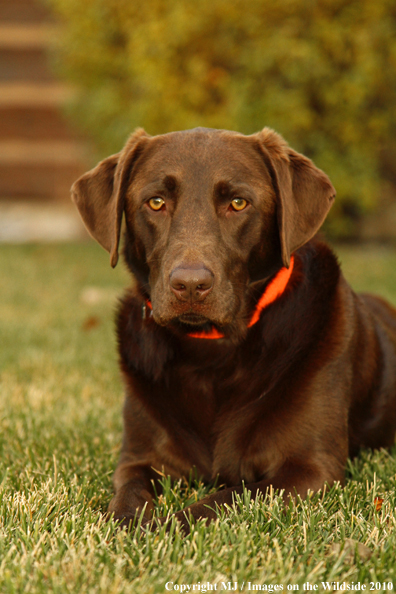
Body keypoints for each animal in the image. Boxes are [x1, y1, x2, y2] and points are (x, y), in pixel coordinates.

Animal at [71, 127, 396, 528]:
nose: (190, 285)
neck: (211, 352)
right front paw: (129, 524)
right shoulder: (139, 459)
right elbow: (127, 497)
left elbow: (224, 498)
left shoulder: (311, 468)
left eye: (239, 203)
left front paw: (164, 527)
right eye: (156, 202)